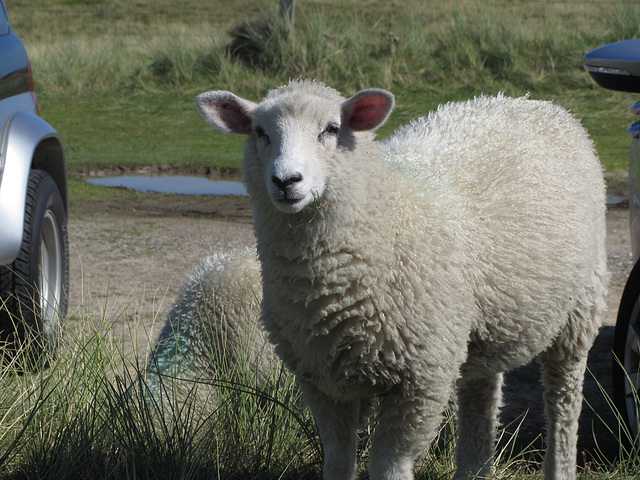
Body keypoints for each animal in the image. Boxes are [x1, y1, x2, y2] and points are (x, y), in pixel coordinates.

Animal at [194, 79, 604, 480]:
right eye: (259, 131)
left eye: (332, 129)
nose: (285, 180)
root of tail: (529, 100)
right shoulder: (322, 379)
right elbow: (338, 460)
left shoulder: (420, 380)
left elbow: (391, 465)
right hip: (478, 326)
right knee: (480, 394)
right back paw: (473, 469)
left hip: (581, 307)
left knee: (563, 401)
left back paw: (560, 464)